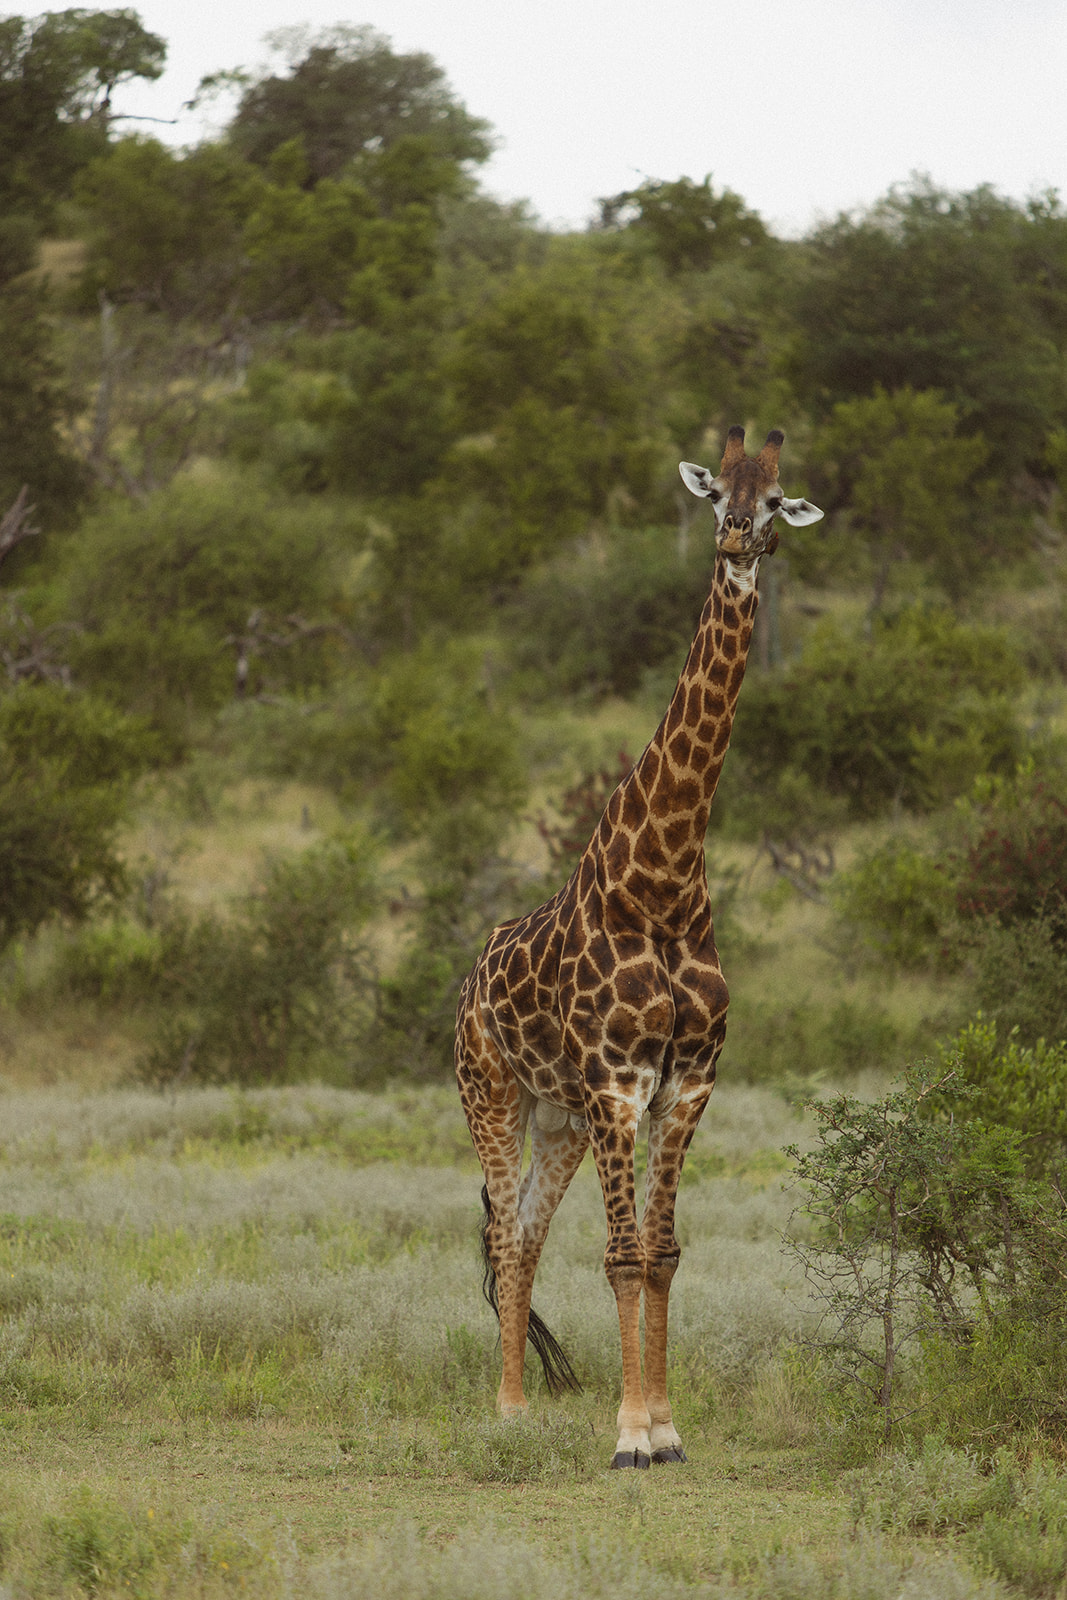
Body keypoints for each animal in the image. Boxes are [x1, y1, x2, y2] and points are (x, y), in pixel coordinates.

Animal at [455, 425, 823, 1468]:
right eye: (714, 492)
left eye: (775, 499)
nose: (735, 538)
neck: (661, 879)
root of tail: (467, 982)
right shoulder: (619, 1081)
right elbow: (622, 1256)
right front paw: (627, 1438)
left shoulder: (684, 1083)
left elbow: (661, 1255)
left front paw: (666, 1426)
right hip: (492, 1093)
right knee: (506, 1236)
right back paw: (507, 1412)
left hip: (559, 1118)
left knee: (524, 1232)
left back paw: (519, 1405)